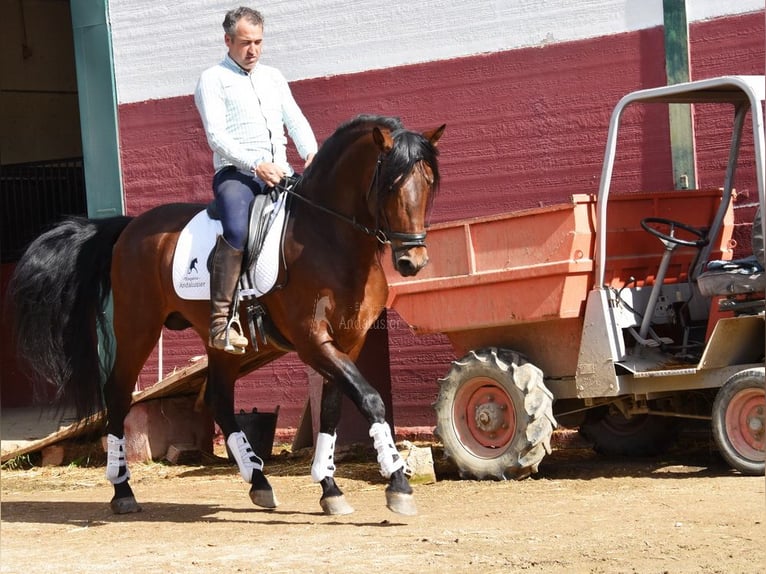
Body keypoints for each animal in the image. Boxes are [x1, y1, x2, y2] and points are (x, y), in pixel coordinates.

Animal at [7, 115, 444, 520]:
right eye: (390, 185)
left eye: (427, 184)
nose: (412, 261)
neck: (331, 238)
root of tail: (130, 227)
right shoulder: (312, 339)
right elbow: (370, 398)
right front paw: (398, 483)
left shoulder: (348, 342)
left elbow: (335, 410)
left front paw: (330, 487)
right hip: (137, 328)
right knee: (118, 395)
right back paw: (123, 491)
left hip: (221, 342)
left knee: (218, 397)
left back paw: (259, 480)